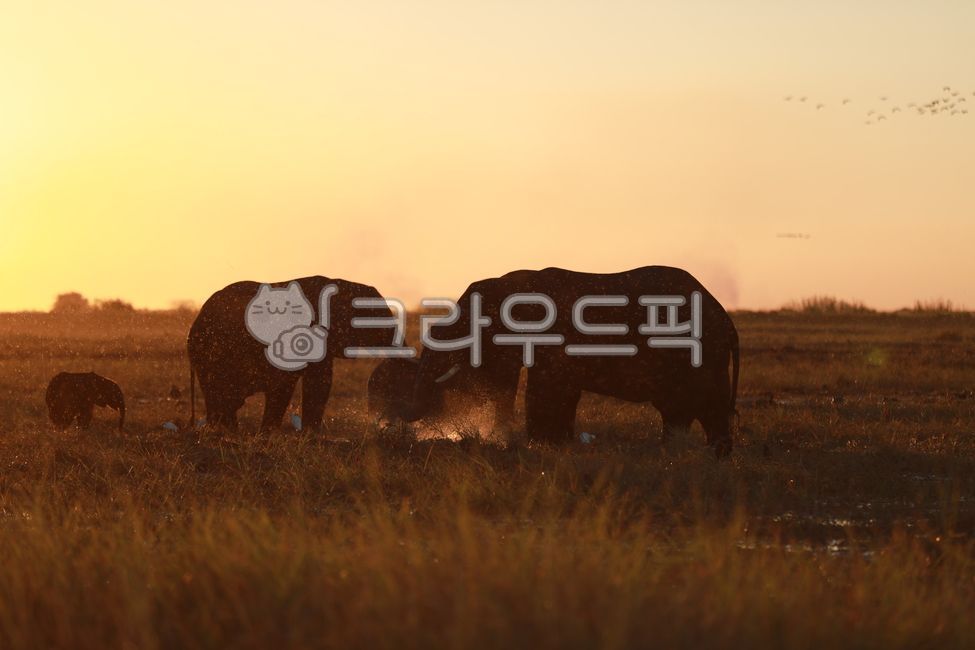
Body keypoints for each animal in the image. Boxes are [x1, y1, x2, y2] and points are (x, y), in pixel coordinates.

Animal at [399, 266, 740, 456]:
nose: (409, 422)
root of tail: (727, 321)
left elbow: (547, 390)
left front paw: (542, 446)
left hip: (701, 354)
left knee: (703, 404)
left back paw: (712, 456)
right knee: (681, 409)